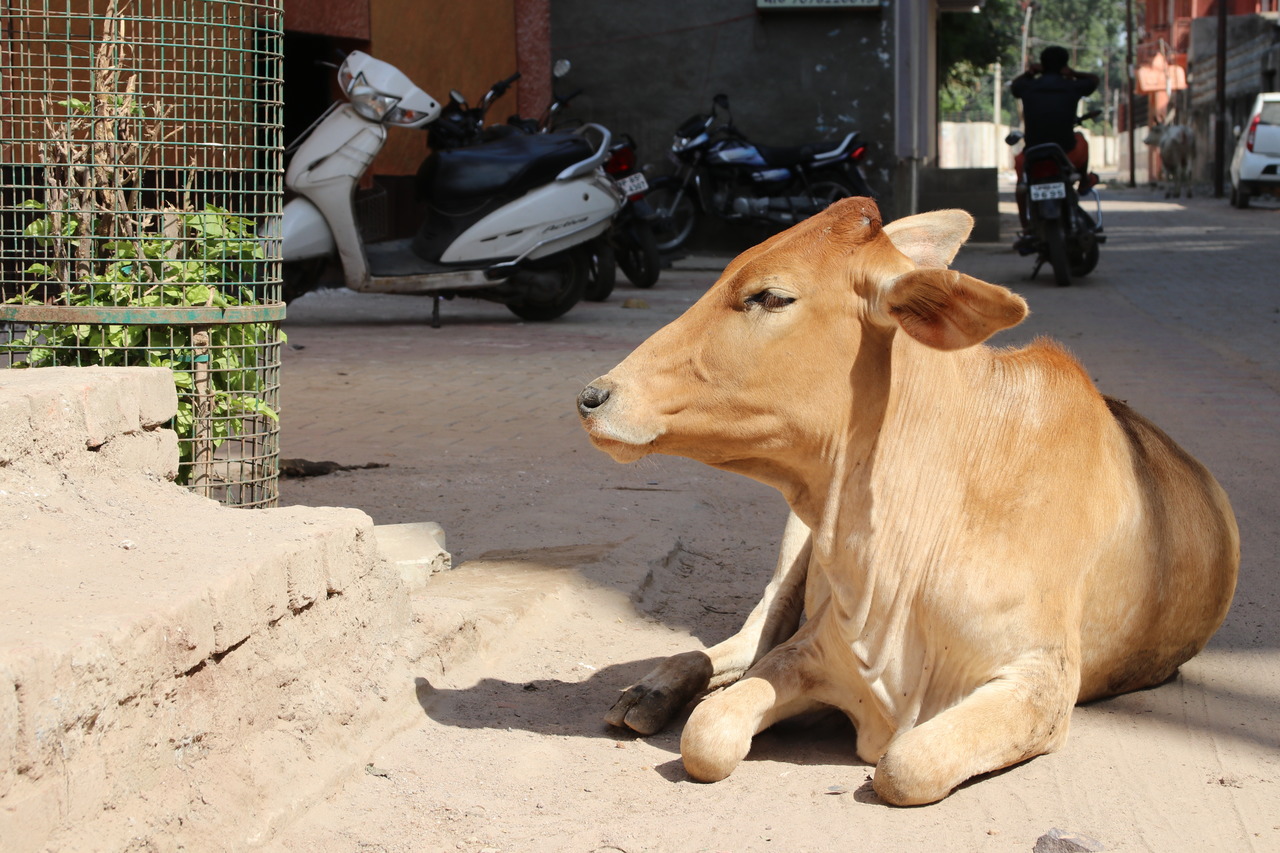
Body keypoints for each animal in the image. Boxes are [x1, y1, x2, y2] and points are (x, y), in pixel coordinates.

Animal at [575, 197, 1238, 805]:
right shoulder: (812, 651)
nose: (594, 396)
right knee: (740, 641)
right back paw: (646, 693)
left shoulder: (1038, 683)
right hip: (795, 542)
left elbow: (904, 765)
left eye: (770, 297)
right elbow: (709, 734)